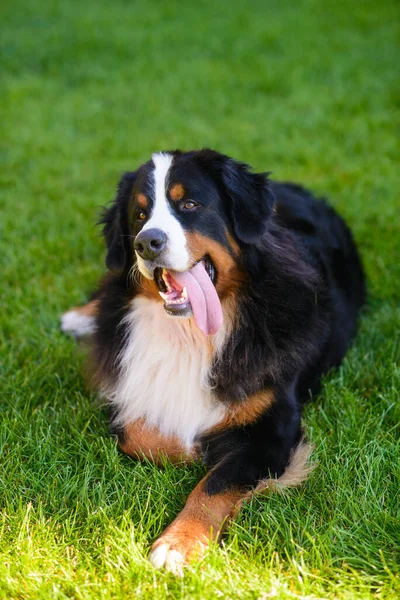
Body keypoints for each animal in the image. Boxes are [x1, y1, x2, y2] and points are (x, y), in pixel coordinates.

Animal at [61, 149, 366, 572]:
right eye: (139, 214)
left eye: (189, 204)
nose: (147, 243)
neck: (191, 334)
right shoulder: (128, 396)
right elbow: (142, 436)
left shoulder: (272, 427)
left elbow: (217, 481)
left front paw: (179, 543)